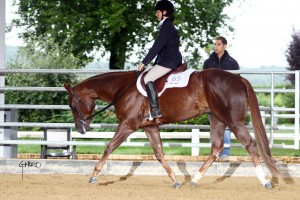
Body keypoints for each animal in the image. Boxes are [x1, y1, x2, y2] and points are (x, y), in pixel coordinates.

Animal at [63, 69, 282, 189]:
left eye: (72, 104)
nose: (80, 129)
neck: (122, 89)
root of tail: (239, 79)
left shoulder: (127, 125)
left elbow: (109, 147)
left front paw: (93, 176)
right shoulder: (150, 127)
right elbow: (159, 153)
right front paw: (175, 180)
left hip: (233, 121)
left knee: (250, 144)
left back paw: (265, 181)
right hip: (217, 119)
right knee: (217, 147)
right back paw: (194, 179)